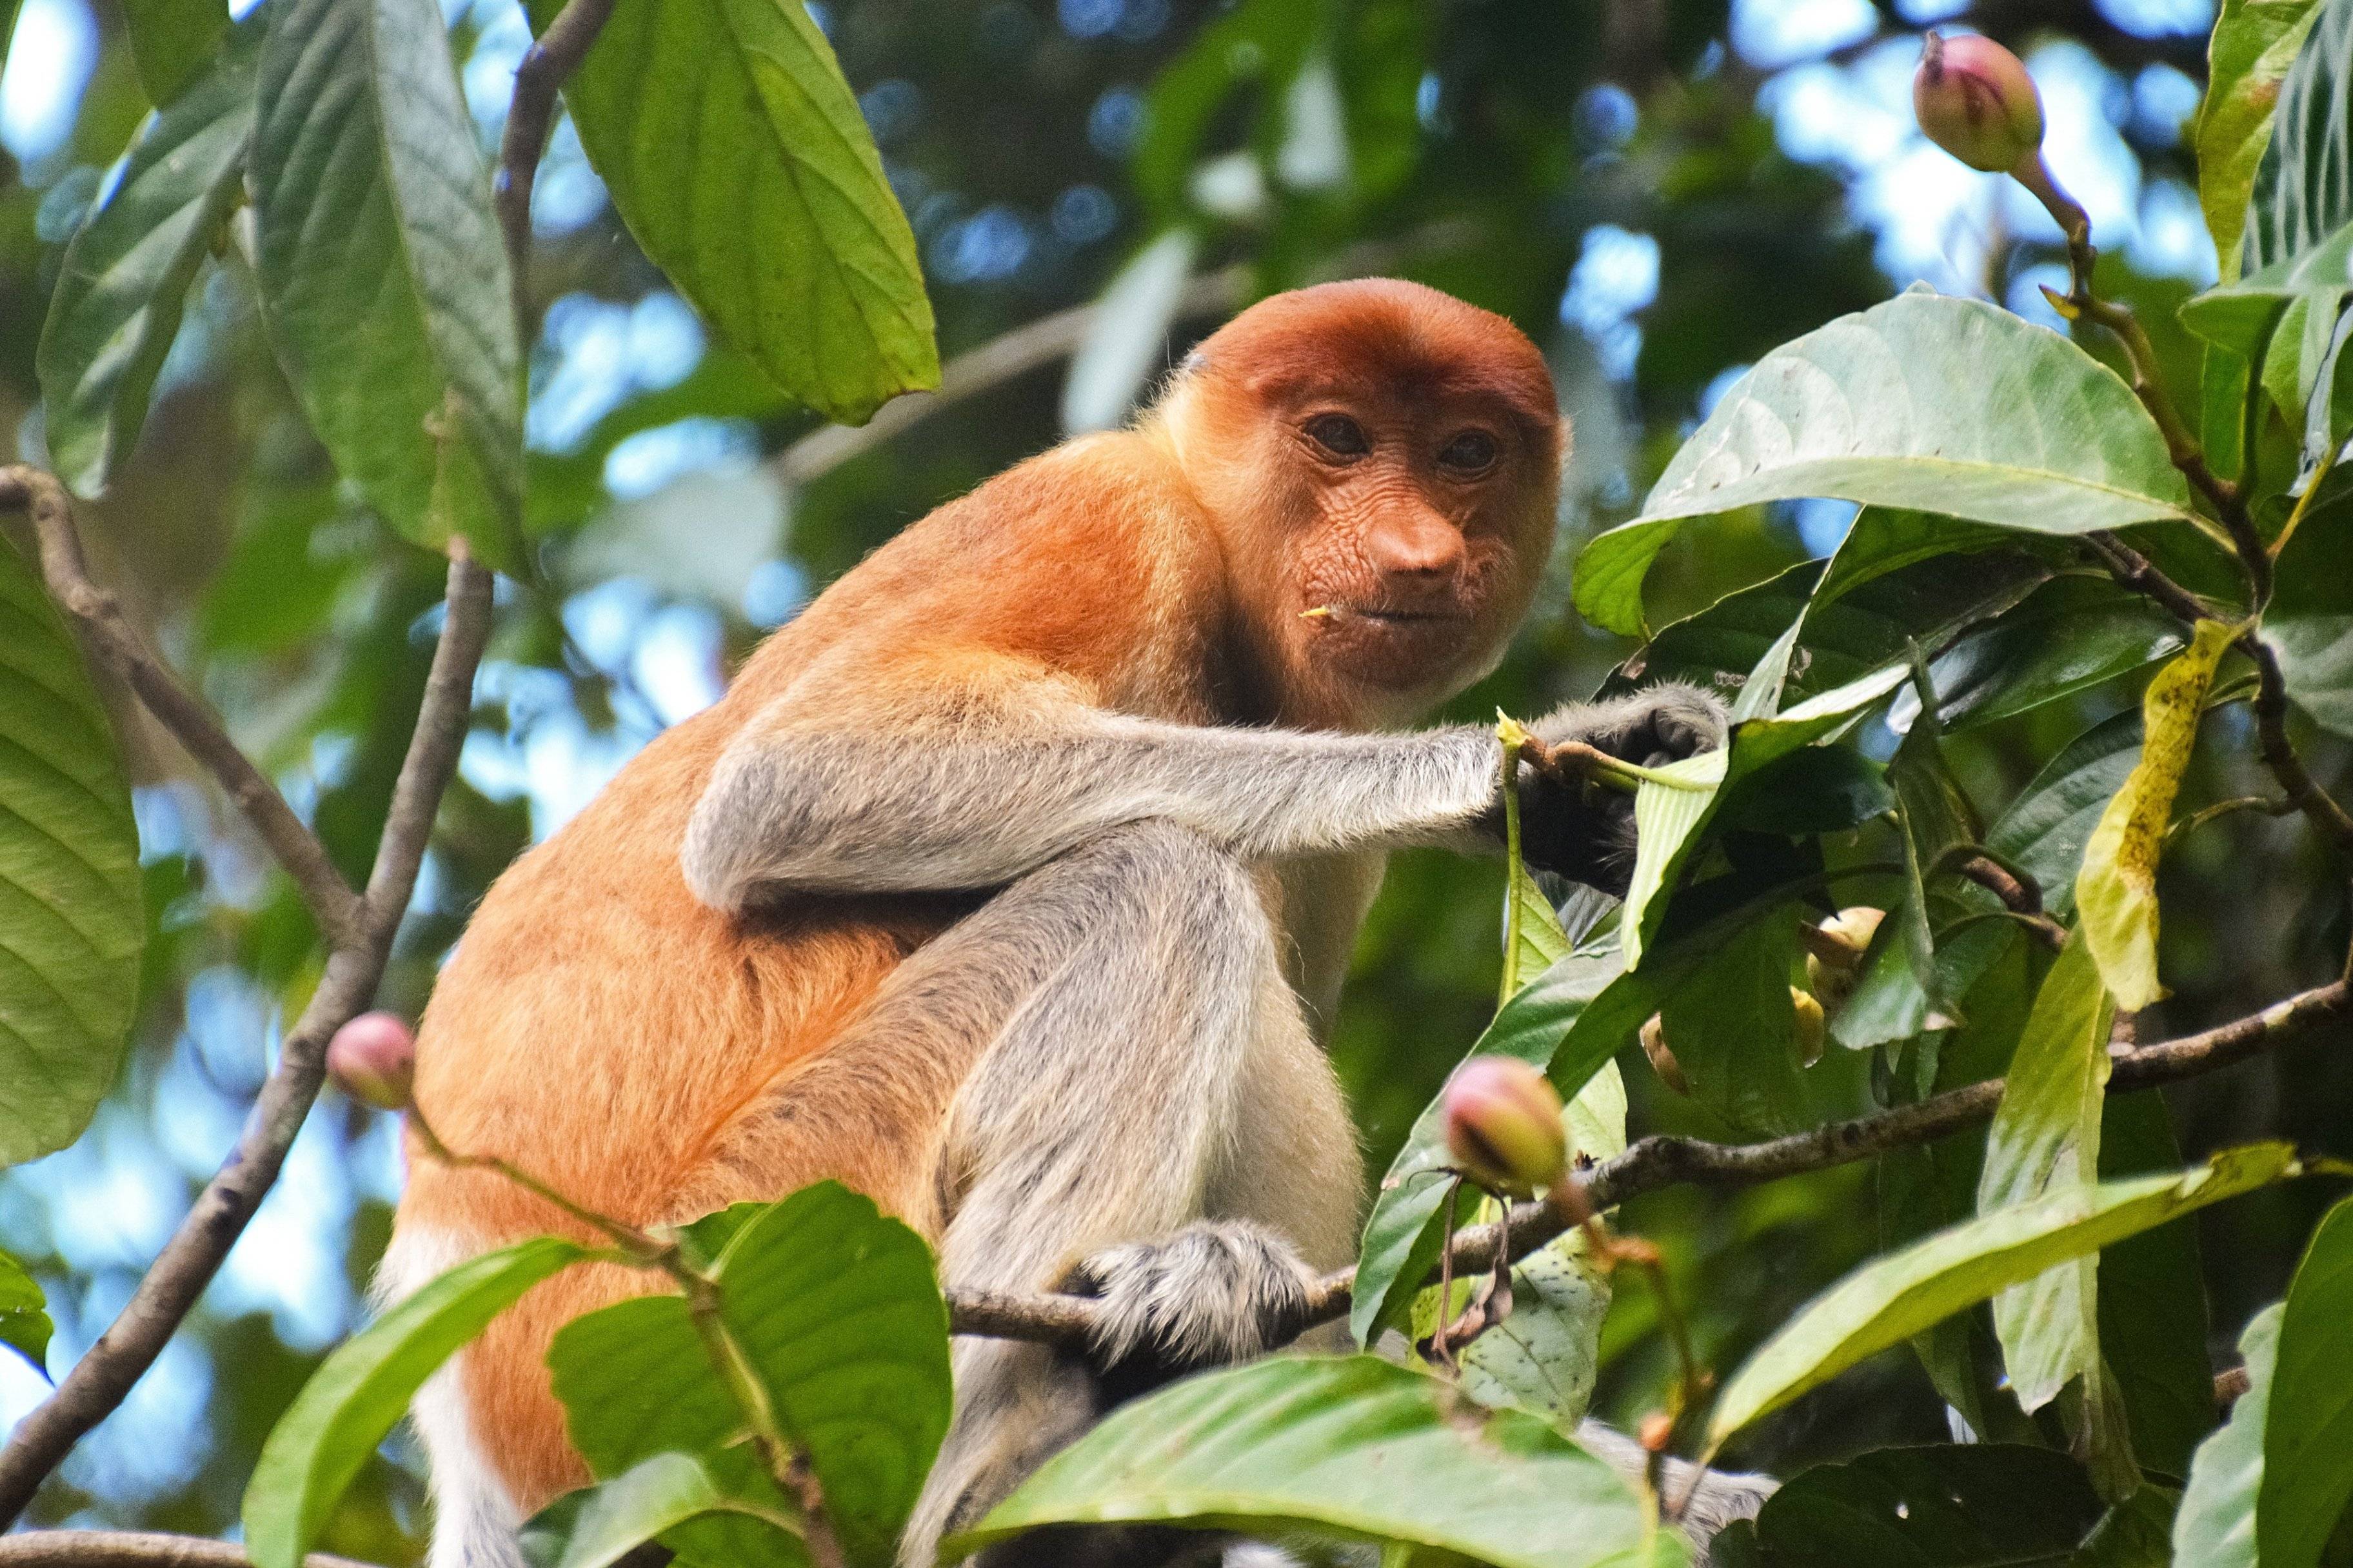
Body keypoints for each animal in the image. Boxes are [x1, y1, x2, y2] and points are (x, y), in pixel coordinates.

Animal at [376, 281, 1760, 1563]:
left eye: (1466, 453)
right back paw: (999, 1475)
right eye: (1337, 437)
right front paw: (1528, 775)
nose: (1420, 553)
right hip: (709, 1276)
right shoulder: (1098, 518)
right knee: (1153, 881)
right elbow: (785, 784)